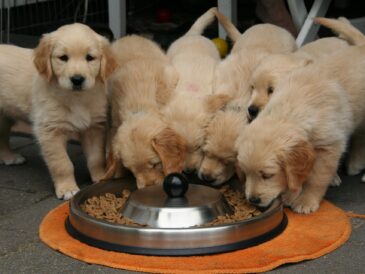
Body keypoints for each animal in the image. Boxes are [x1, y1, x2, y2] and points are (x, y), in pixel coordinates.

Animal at [32, 23, 116, 199]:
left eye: (89, 58)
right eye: (63, 58)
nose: (77, 79)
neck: (76, 98)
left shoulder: (94, 128)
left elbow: (96, 157)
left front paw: (100, 177)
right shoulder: (49, 132)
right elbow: (62, 163)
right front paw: (67, 188)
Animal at [102, 34, 183, 188]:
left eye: (155, 164)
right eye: (131, 170)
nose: (149, 186)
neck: (138, 106)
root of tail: (129, 36)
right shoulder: (114, 119)